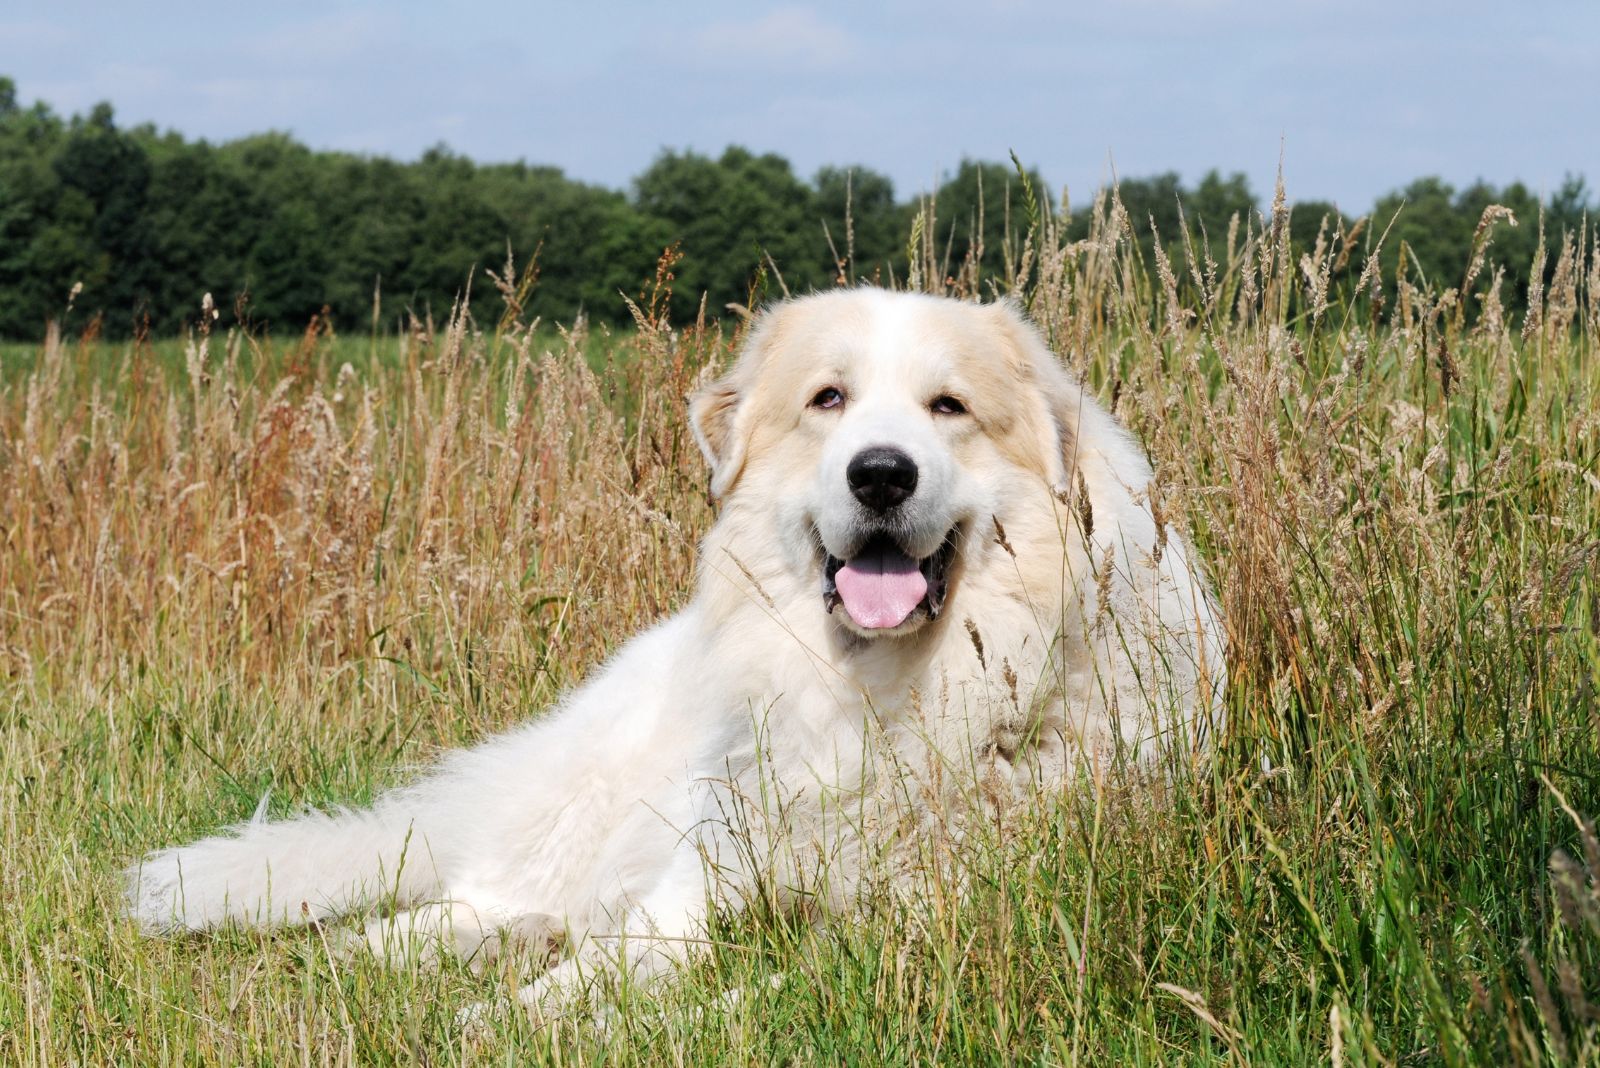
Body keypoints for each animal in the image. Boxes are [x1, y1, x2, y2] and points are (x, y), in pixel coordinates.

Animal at [124, 289, 1222, 1016]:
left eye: (947, 408)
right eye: (828, 400)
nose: (880, 474)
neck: (877, 693)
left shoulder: (911, 930)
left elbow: (753, 991)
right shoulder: (705, 877)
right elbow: (621, 960)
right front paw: (524, 1018)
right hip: (606, 794)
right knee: (489, 892)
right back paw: (404, 951)